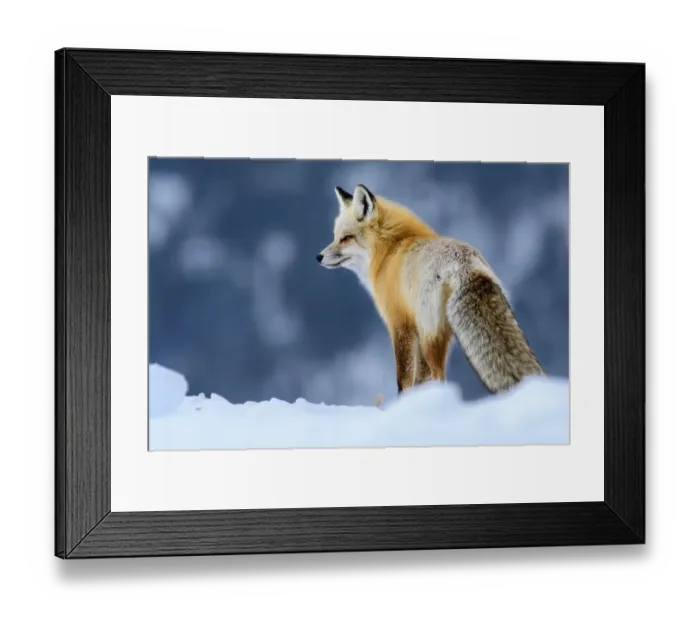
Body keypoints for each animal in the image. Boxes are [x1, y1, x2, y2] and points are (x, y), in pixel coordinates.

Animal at [316, 184, 545, 395]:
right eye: (335, 236)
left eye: (346, 238)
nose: (318, 257)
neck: (391, 251)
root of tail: (466, 266)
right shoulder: (415, 327)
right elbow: (420, 380)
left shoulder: (400, 324)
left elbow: (404, 379)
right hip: (441, 335)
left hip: (430, 337)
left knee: (439, 377)